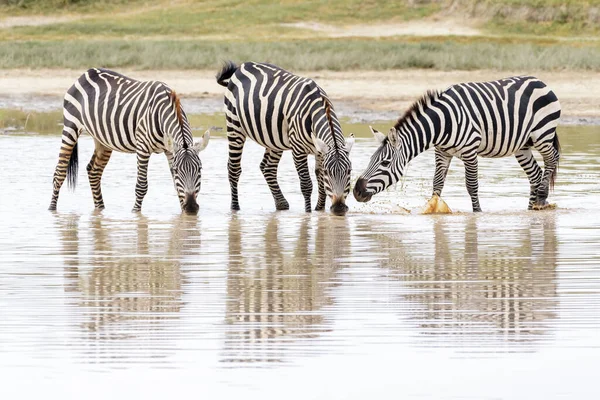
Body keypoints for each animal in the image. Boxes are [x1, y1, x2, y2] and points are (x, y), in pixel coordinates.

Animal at [48, 67, 210, 214]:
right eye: (177, 170)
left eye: (200, 169)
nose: (191, 207)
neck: (162, 112)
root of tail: (86, 73)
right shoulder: (143, 148)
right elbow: (141, 186)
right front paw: (135, 213)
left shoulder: (170, 151)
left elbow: (176, 186)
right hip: (70, 126)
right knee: (59, 172)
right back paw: (52, 209)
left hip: (103, 140)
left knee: (93, 171)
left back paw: (100, 209)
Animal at [216, 61, 354, 216]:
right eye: (328, 172)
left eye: (349, 171)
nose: (339, 208)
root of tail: (243, 66)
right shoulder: (298, 149)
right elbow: (306, 184)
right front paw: (308, 214)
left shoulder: (320, 151)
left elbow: (320, 181)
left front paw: (319, 211)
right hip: (234, 125)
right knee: (234, 168)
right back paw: (235, 208)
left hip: (273, 139)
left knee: (267, 167)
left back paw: (281, 204)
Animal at [352, 76, 564, 211]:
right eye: (370, 160)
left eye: (385, 163)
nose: (356, 191)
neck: (441, 124)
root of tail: (539, 81)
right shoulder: (442, 153)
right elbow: (437, 184)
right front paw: (433, 208)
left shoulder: (470, 152)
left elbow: (472, 185)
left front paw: (477, 213)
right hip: (522, 146)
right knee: (535, 175)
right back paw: (531, 209)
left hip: (543, 134)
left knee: (552, 158)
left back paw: (542, 196)